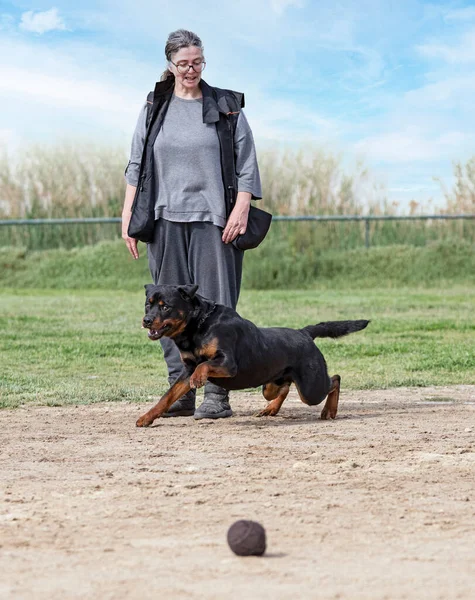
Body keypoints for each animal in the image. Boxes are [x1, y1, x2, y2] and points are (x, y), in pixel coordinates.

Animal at [136, 282, 370, 426]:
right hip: (272, 385)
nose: (146, 320)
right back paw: (270, 409)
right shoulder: (186, 371)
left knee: (335, 380)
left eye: (165, 307)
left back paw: (329, 411)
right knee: (284, 387)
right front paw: (147, 417)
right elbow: (167, 396)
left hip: (311, 388)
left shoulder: (228, 363)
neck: (199, 325)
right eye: (148, 304)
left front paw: (200, 378)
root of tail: (304, 333)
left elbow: (204, 365)